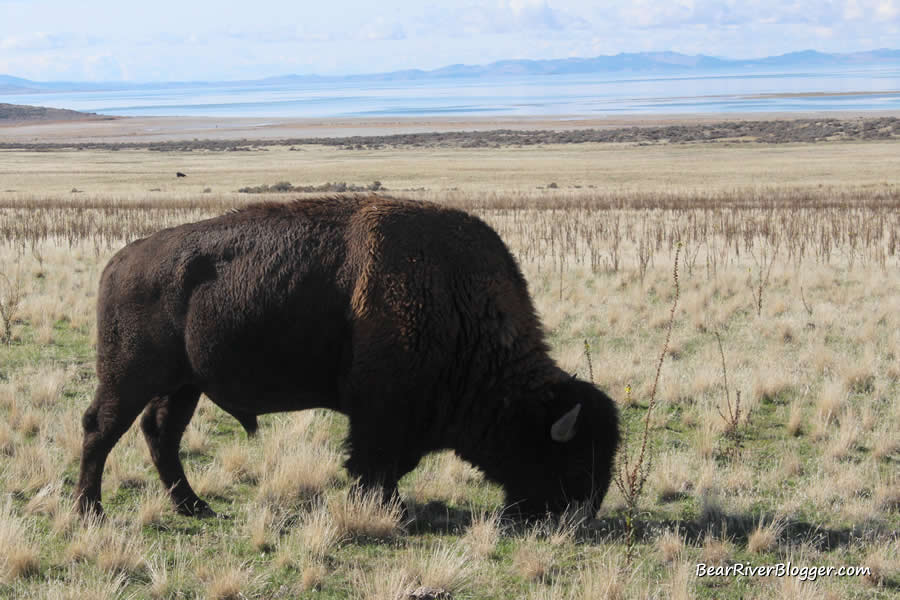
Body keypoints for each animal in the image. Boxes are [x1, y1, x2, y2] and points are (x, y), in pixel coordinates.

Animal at [75, 195, 620, 516]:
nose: (578, 515)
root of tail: (121, 259)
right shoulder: (381, 415)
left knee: (160, 434)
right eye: (572, 459)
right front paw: (386, 508)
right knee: (101, 429)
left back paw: (194, 507)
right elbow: (375, 463)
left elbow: (389, 465)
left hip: (184, 384)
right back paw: (89, 510)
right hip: (130, 378)